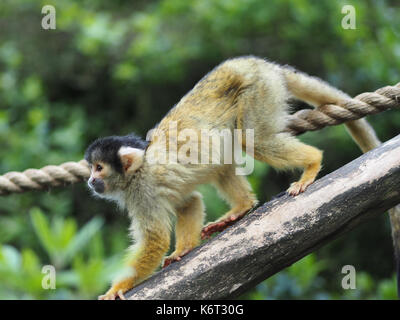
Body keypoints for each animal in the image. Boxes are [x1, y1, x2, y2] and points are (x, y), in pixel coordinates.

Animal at [84, 55, 378, 300]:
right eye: (90, 168)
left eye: (99, 168)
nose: (89, 181)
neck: (136, 171)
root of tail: (263, 64)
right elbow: (190, 202)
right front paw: (183, 251)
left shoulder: (142, 191)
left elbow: (156, 239)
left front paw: (117, 288)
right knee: (223, 158)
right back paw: (241, 207)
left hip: (259, 90)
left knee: (252, 139)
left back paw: (312, 162)